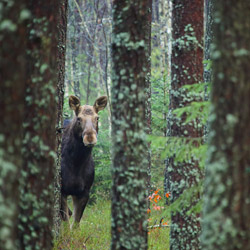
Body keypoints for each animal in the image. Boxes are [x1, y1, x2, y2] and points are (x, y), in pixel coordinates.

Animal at [61, 94, 108, 228]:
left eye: (97, 118)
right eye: (79, 118)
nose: (90, 138)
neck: (77, 162)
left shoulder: (84, 192)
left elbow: (76, 225)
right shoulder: (62, 191)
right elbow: (66, 225)